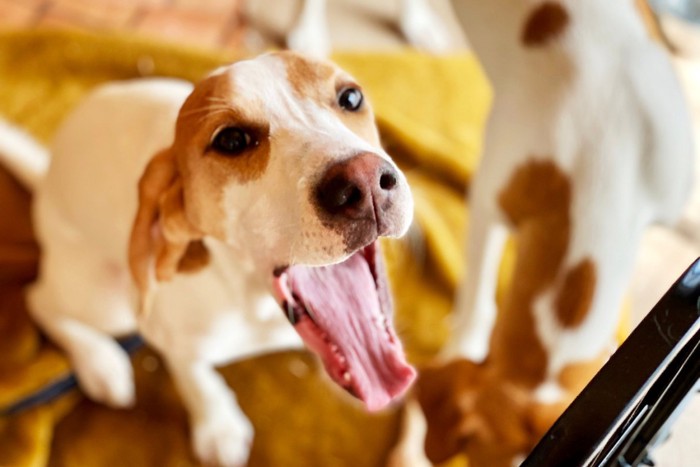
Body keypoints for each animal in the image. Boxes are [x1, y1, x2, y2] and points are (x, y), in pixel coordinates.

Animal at [0, 52, 416, 467]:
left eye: (351, 98)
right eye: (231, 140)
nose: (363, 182)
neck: (253, 303)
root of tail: (47, 177)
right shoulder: (168, 336)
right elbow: (195, 377)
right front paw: (217, 426)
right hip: (108, 302)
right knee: (39, 301)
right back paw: (99, 361)